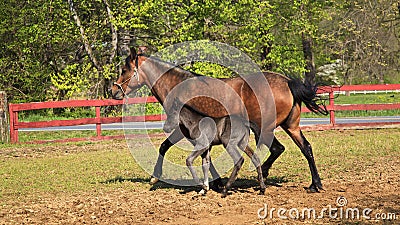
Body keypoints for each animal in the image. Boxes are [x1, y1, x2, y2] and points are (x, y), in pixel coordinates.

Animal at [112, 47, 328, 192]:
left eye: (124, 70)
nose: (114, 90)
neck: (178, 85)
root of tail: (287, 82)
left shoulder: (184, 129)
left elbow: (165, 147)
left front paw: (155, 178)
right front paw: (214, 182)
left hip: (264, 129)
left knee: (277, 148)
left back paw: (264, 175)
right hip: (291, 127)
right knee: (305, 148)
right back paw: (314, 184)